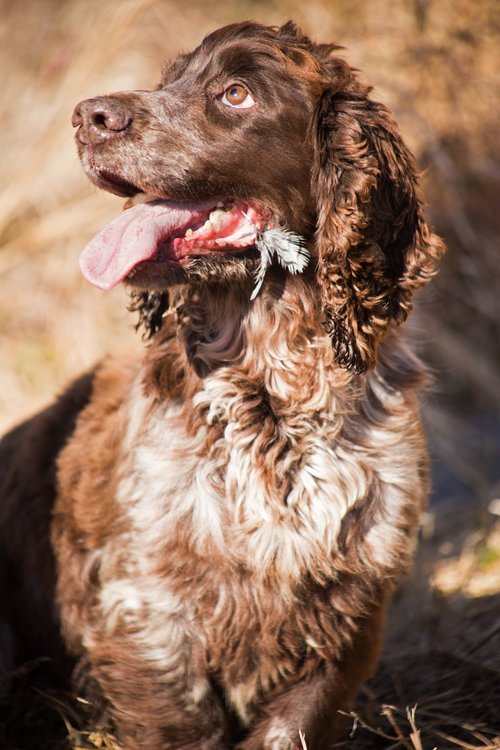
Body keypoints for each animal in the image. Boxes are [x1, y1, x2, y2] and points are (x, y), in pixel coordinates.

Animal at [0, 20, 446, 748]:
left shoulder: (351, 607)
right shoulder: (146, 607)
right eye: (167, 80)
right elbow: (183, 720)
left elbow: (291, 724)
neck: (273, 395)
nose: (87, 116)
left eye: (236, 93)